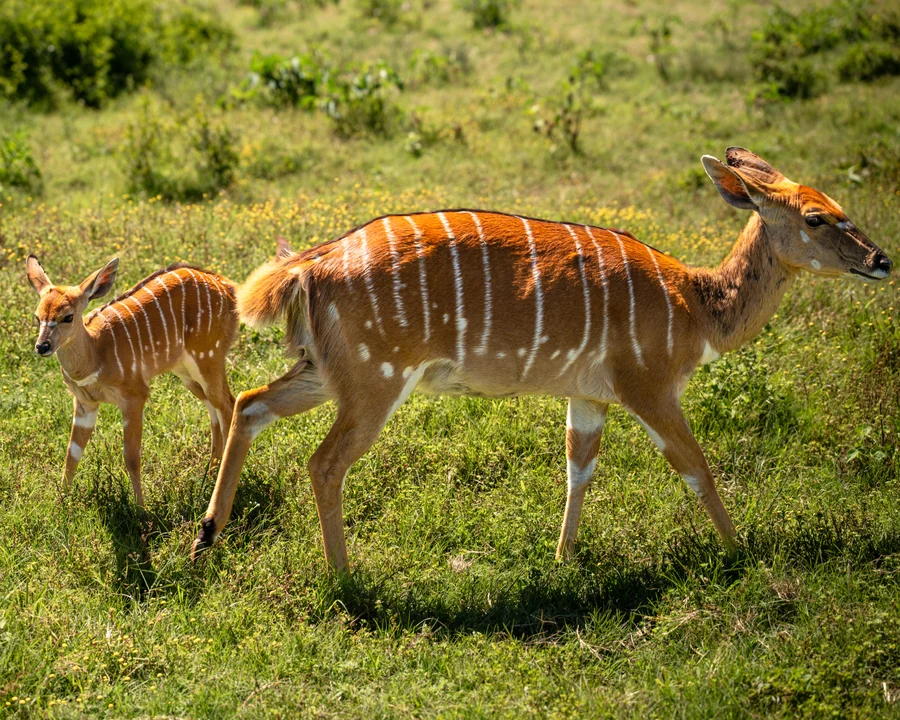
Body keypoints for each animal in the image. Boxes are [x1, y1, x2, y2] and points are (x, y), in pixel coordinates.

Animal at [26, 257, 239, 506]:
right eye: (37, 316)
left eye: (67, 316)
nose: (42, 346)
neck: (95, 353)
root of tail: (228, 288)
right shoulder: (85, 403)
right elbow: (72, 453)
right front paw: (62, 501)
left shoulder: (134, 395)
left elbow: (131, 456)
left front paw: (141, 508)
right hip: (187, 372)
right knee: (214, 410)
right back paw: (210, 475)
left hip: (209, 357)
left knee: (228, 404)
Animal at [191, 147, 892, 570]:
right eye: (818, 217)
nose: (882, 260)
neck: (695, 305)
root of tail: (311, 266)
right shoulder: (648, 385)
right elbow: (695, 466)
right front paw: (741, 551)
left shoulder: (589, 395)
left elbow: (578, 469)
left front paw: (562, 558)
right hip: (374, 382)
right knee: (324, 462)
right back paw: (345, 577)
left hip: (324, 371)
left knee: (251, 405)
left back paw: (206, 536)